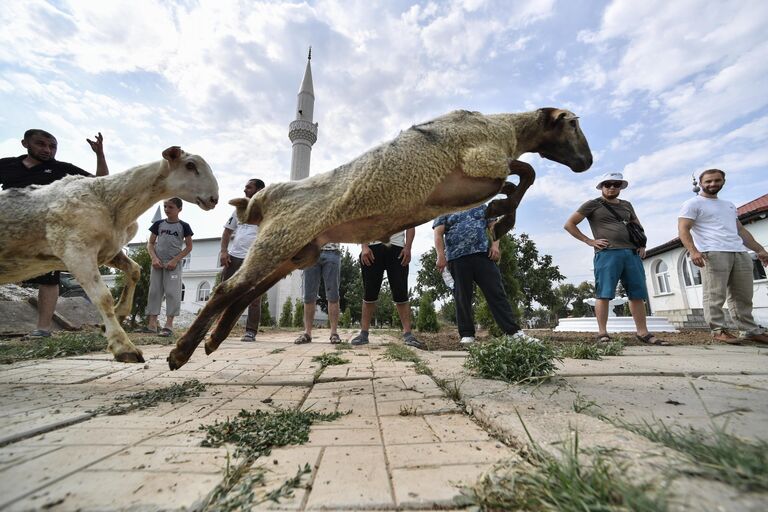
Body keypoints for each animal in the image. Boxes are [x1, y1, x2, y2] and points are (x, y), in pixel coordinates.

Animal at [2, 147, 219, 364]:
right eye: (190, 165)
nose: (214, 198)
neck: (112, 202)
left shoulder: (109, 250)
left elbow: (135, 271)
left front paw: (119, 314)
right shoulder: (76, 250)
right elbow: (103, 296)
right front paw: (124, 347)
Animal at [170, 108, 592, 370]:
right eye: (572, 124)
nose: (587, 162)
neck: (506, 128)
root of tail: (264, 200)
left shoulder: (475, 181)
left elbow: (521, 178)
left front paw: (498, 216)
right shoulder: (480, 164)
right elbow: (523, 172)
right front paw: (500, 218)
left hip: (297, 253)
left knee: (246, 293)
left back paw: (212, 341)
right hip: (280, 240)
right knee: (226, 290)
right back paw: (181, 352)